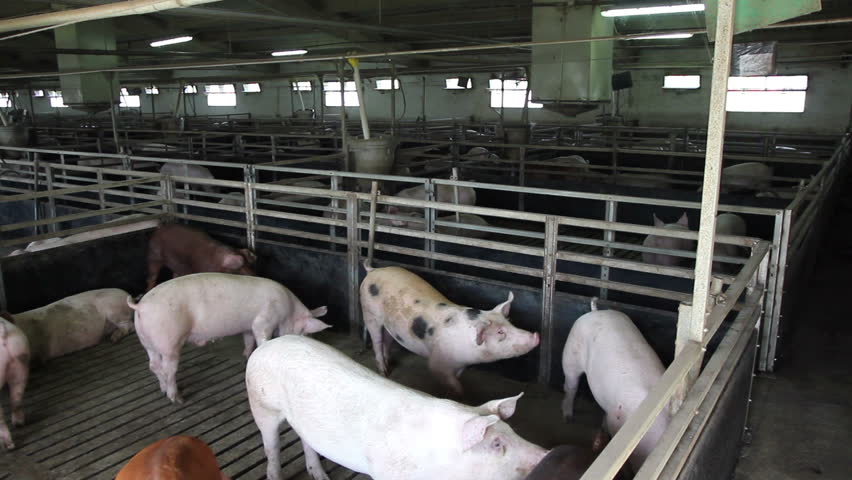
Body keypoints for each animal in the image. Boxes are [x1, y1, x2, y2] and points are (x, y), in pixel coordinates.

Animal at [129, 272, 330, 404]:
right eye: (305, 333)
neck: (288, 310)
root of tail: (141, 307)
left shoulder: (247, 327)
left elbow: (248, 341)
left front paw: (246, 356)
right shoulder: (263, 320)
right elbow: (261, 338)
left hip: (147, 341)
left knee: (154, 365)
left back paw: (163, 390)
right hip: (168, 341)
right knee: (168, 369)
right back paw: (177, 398)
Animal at [246, 334, 544, 480]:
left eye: (513, 431)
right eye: (497, 444)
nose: (545, 453)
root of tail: (268, 345)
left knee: (307, 442)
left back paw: (321, 477)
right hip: (261, 403)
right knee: (271, 446)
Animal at [360, 262, 540, 398]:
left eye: (510, 323)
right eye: (500, 332)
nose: (536, 335)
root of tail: (373, 270)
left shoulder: (460, 365)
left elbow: (456, 379)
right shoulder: (437, 362)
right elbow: (453, 382)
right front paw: (456, 396)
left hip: (390, 324)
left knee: (388, 339)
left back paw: (389, 362)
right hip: (369, 312)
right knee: (377, 340)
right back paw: (384, 372)